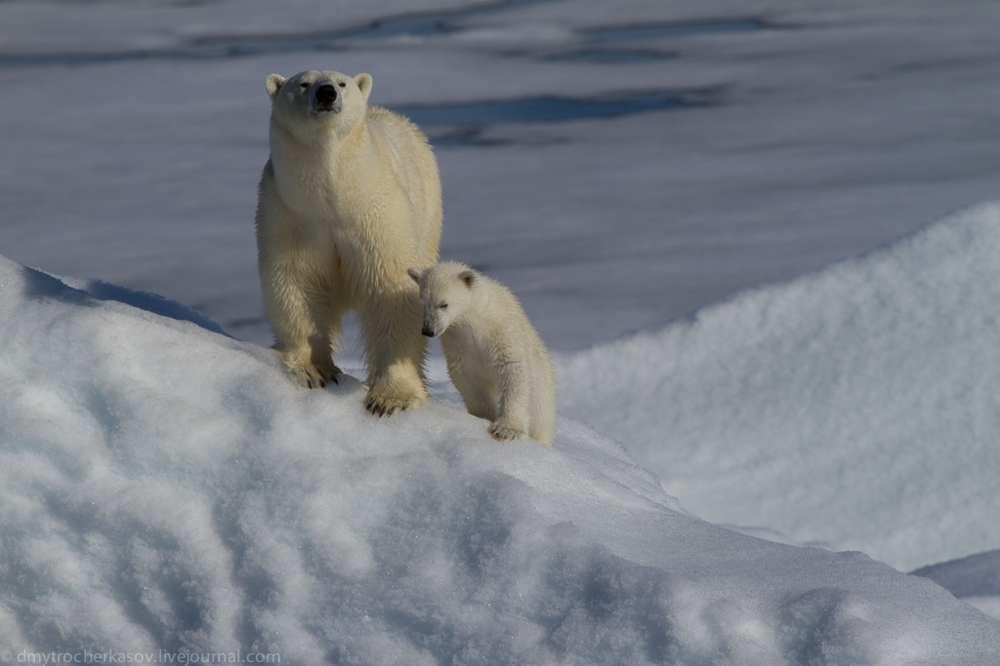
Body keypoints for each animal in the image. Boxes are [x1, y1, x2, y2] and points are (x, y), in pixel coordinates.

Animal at [258, 72, 442, 416]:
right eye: (303, 83)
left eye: (341, 83)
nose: (326, 93)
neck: (334, 199)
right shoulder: (291, 214)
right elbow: (297, 281)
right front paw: (315, 371)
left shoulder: (376, 213)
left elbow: (392, 289)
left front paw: (391, 398)